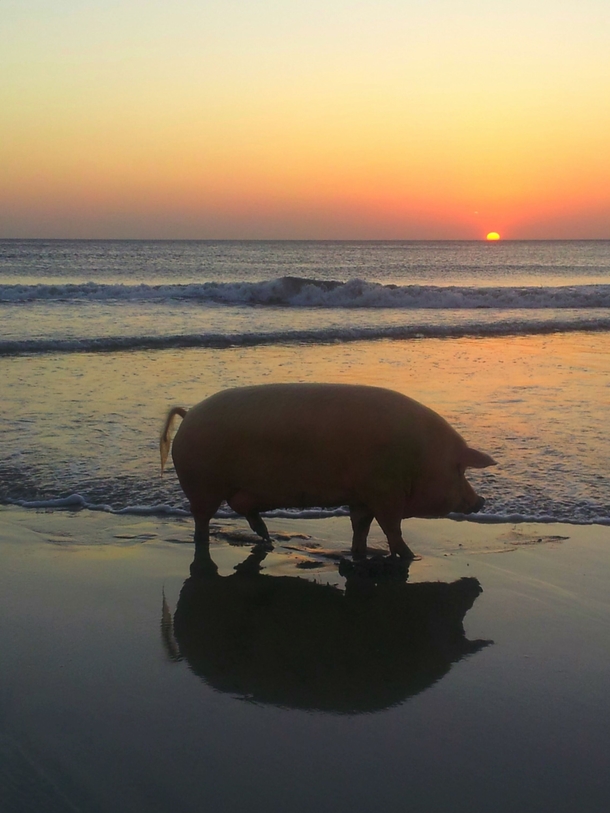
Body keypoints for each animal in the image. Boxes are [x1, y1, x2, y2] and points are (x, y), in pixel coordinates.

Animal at [158, 384, 494, 560]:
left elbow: (361, 527)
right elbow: (392, 529)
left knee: (248, 515)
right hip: (202, 486)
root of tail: (188, 414)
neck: (420, 459)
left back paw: (268, 539)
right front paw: (410, 557)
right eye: (460, 470)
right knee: (202, 520)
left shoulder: (362, 496)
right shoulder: (384, 493)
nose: (481, 501)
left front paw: (360, 553)